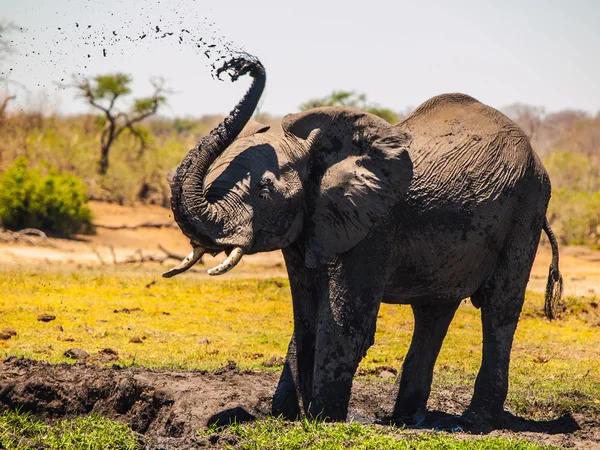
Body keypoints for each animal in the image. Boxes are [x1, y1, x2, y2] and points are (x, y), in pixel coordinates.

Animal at [164, 56, 564, 428]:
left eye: (264, 190)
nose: (237, 65)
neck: (318, 152)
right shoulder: (307, 225)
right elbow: (305, 315)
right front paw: (284, 416)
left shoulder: (373, 226)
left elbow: (345, 320)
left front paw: (322, 420)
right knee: (433, 312)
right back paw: (406, 419)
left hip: (525, 212)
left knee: (499, 309)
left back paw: (475, 422)